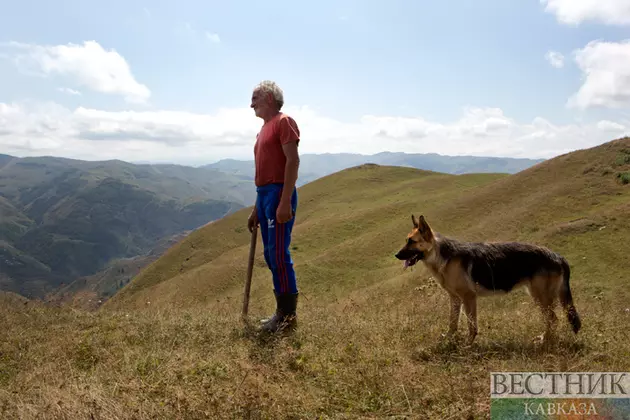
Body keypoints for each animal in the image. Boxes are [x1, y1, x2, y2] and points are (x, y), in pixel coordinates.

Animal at [396, 215, 584, 346]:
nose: (396, 255)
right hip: (539, 296)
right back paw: (545, 338)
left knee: (553, 320)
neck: (442, 255)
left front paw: (468, 345)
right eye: (406, 240)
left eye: (412, 241)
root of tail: (558, 256)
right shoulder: (455, 298)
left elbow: (472, 325)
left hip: (540, 297)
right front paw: (449, 339)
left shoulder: (469, 298)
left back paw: (546, 341)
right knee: (551, 321)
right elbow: (452, 322)